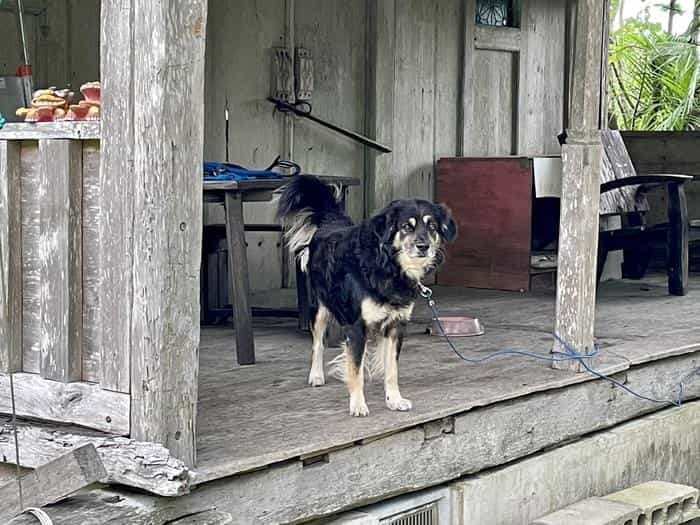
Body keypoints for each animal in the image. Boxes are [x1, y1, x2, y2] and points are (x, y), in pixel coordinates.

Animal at [276, 174, 456, 416]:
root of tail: (330, 222)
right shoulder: (356, 327)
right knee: (317, 344)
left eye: (433, 227)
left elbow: (392, 370)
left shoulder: (396, 326)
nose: (423, 246)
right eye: (405, 227)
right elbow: (356, 370)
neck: (388, 266)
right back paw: (316, 375)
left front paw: (394, 399)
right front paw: (358, 404)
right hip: (318, 309)